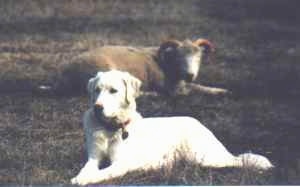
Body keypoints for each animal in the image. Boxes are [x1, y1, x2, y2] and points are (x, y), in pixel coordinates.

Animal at [71, 70, 274, 186]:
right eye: (97, 90)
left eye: (113, 91)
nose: (97, 107)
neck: (110, 128)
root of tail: (198, 122)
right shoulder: (93, 157)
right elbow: (87, 169)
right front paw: (80, 176)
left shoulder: (122, 163)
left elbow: (103, 173)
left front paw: (84, 180)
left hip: (204, 158)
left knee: (239, 160)